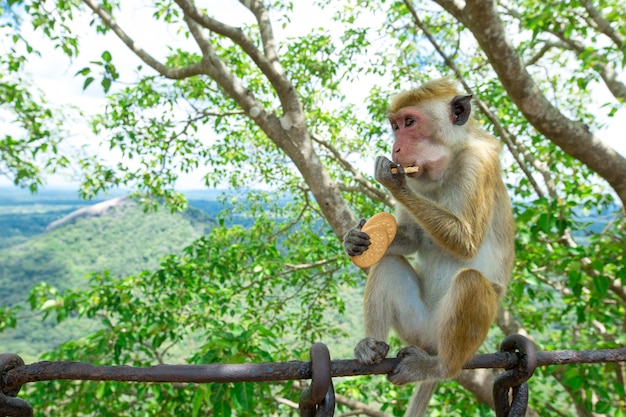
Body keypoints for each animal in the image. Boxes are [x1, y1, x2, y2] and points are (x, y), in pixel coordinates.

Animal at [344, 76, 516, 414]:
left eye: (410, 123)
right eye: (395, 126)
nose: (396, 148)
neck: (445, 165)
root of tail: (431, 345)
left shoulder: (478, 163)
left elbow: (466, 242)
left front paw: (392, 180)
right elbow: (409, 239)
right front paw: (352, 239)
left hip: (450, 334)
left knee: (471, 281)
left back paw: (439, 368)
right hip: (416, 326)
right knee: (387, 262)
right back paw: (371, 346)